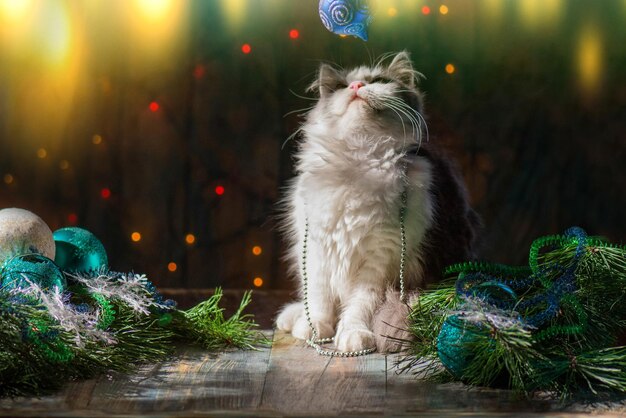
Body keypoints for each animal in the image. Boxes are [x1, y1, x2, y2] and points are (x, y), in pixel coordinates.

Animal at [274, 51, 478, 352]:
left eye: (378, 81)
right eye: (343, 86)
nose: (357, 86)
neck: (358, 163)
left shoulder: (380, 260)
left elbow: (360, 306)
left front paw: (352, 335)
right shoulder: (318, 250)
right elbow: (320, 300)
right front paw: (314, 328)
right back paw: (294, 316)